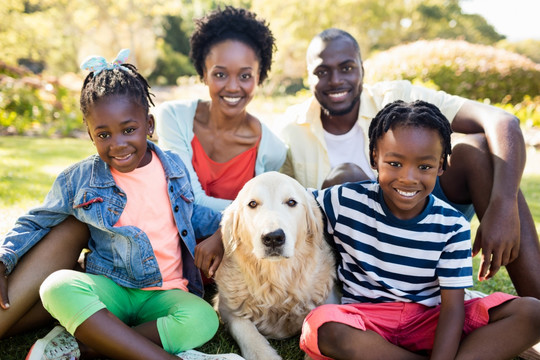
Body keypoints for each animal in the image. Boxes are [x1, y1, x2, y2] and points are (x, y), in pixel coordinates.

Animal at [213, 172, 336, 360]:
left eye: (291, 202)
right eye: (253, 204)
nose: (273, 238)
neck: (275, 281)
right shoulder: (227, 309)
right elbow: (249, 333)